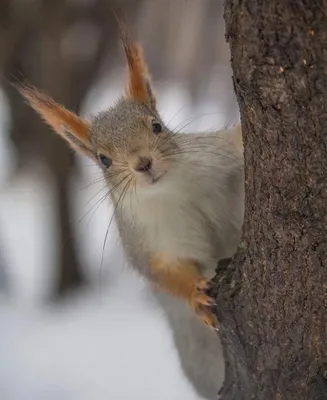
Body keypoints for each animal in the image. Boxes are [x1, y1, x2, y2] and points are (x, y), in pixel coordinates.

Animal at [16, 30, 245, 400]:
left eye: (157, 126)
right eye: (103, 159)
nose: (143, 163)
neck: (168, 190)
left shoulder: (216, 156)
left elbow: (235, 145)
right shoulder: (146, 240)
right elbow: (163, 271)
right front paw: (195, 295)